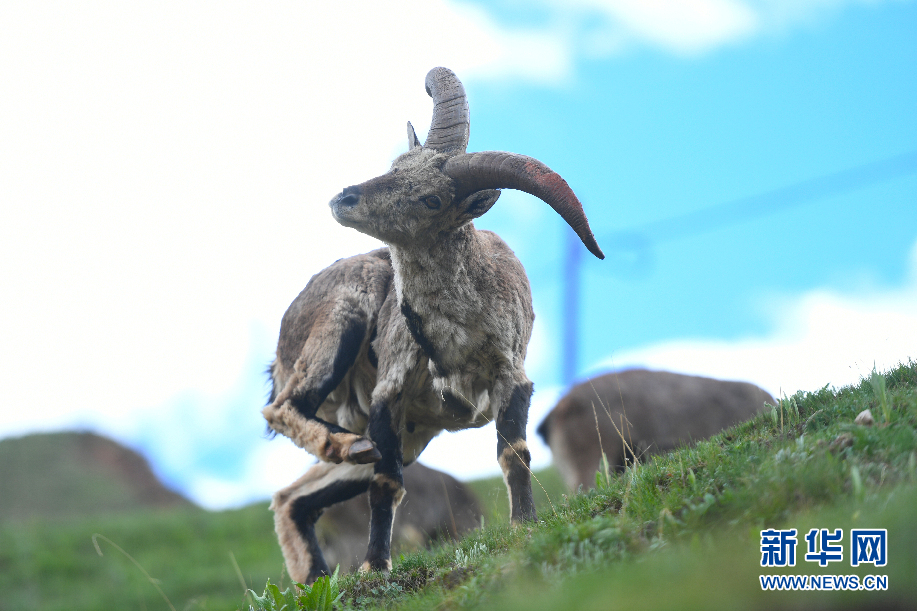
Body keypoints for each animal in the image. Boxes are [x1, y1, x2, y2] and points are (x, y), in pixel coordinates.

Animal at [261, 67, 604, 583]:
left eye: (431, 198)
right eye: (398, 163)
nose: (346, 197)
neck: (455, 336)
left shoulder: (511, 376)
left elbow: (514, 453)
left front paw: (524, 525)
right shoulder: (391, 388)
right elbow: (386, 485)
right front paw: (374, 567)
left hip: (413, 435)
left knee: (293, 497)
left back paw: (314, 577)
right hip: (342, 322)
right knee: (284, 409)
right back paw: (347, 449)